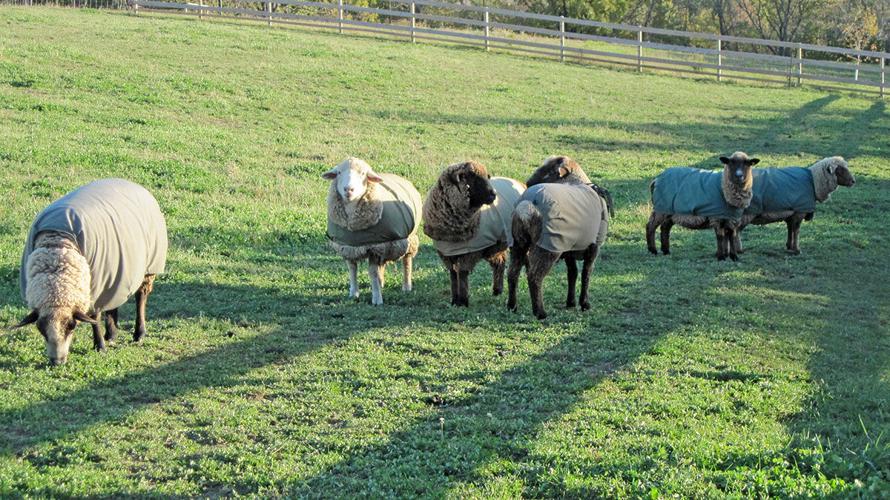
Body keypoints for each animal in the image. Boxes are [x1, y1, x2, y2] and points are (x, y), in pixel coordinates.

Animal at [14, 179, 168, 365]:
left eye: (71, 326)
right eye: (40, 329)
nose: (57, 361)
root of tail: (131, 183)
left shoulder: (95, 284)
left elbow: (95, 317)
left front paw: (99, 346)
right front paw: (103, 340)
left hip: (148, 266)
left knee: (141, 297)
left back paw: (139, 333)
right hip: (118, 271)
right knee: (114, 301)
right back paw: (111, 334)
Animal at [323, 158, 421, 305]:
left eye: (363, 173)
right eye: (339, 172)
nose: (348, 189)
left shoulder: (374, 247)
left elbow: (372, 273)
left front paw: (377, 299)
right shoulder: (348, 246)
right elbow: (352, 269)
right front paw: (354, 293)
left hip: (407, 239)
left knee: (407, 261)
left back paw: (406, 285)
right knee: (382, 265)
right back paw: (381, 283)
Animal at [422, 161, 525, 307]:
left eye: (487, 177)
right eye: (472, 178)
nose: (494, 194)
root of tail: (521, 183)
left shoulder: (470, 252)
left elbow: (462, 274)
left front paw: (463, 301)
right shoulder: (447, 253)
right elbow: (453, 275)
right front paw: (454, 300)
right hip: (495, 244)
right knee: (500, 262)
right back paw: (497, 290)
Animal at [506, 156, 613, 320]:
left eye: (547, 171)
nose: (528, 182)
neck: (577, 181)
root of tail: (526, 206)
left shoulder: (569, 247)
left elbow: (573, 273)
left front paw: (571, 302)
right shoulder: (593, 247)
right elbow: (586, 274)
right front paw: (584, 304)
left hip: (518, 243)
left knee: (513, 273)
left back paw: (512, 306)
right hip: (547, 247)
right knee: (534, 276)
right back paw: (540, 312)